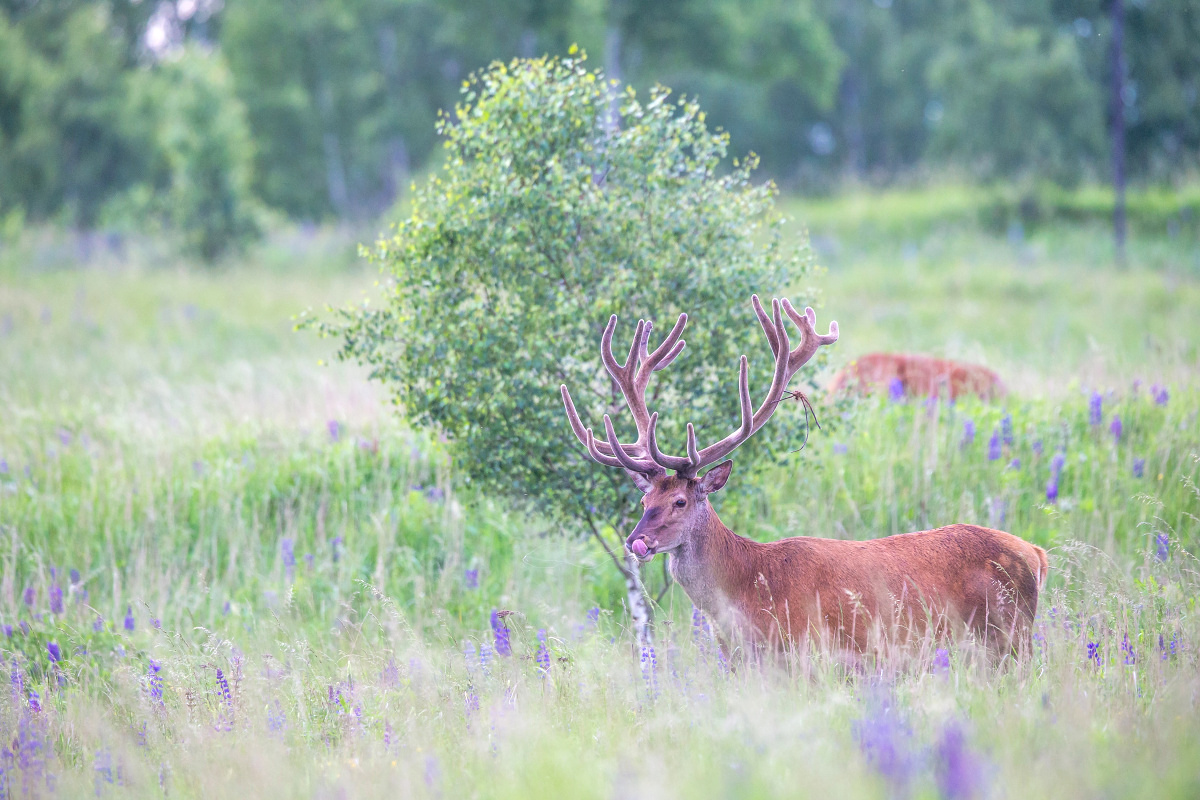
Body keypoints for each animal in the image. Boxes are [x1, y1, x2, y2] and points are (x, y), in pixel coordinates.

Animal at [559, 297, 1041, 662]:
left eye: (680, 500)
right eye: (644, 502)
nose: (635, 541)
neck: (747, 592)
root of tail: (1035, 554)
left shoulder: (809, 655)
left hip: (1007, 635)